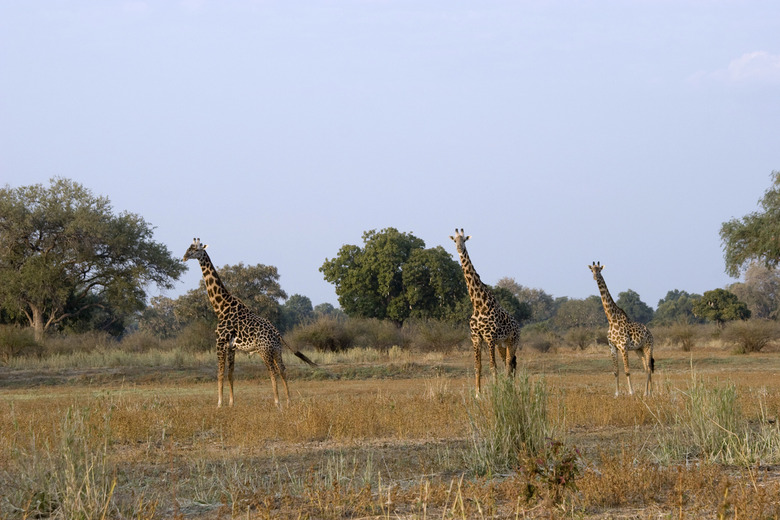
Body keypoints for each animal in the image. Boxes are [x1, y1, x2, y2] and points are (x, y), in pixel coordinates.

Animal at [182, 238, 314, 408]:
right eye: (188, 247)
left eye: (196, 249)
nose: (184, 257)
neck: (221, 307)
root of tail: (277, 332)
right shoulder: (231, 347)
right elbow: (230, 374)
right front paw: (231, 403)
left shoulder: (220, 342)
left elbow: (219, 373)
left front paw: (219, 404)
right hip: (276, 350)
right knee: (283, 370)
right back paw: (289, 401)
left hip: (264, 350)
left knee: (272, 371)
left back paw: (277, 403)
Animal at [448, 228, 520, 394]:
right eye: (455, 240)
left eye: (464, 240)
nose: (459, 248)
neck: (479, 304)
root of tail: (518, 325)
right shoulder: (476, 338)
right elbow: (478, 366)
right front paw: (477, 393)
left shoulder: (490, 338)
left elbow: (493, 367)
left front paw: (496, 390)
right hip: (502, 344)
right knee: (510, 363)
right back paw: (509, 387)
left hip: (512, 341)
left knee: (509, 363)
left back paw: (509, 388)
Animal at [592, 262, 652, 396]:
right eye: (592, 270)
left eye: (599, 270)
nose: (595, 277)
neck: (611, 319)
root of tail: (650, 332)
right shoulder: (612, 347)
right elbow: (616, 371)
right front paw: (616, 393)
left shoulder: (623, 346)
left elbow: (627, 370)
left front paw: (631, 392)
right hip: (639, 349)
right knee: (646, 368)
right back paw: (648, 392)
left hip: (648, 347)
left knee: (650, 368)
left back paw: (649, 392)